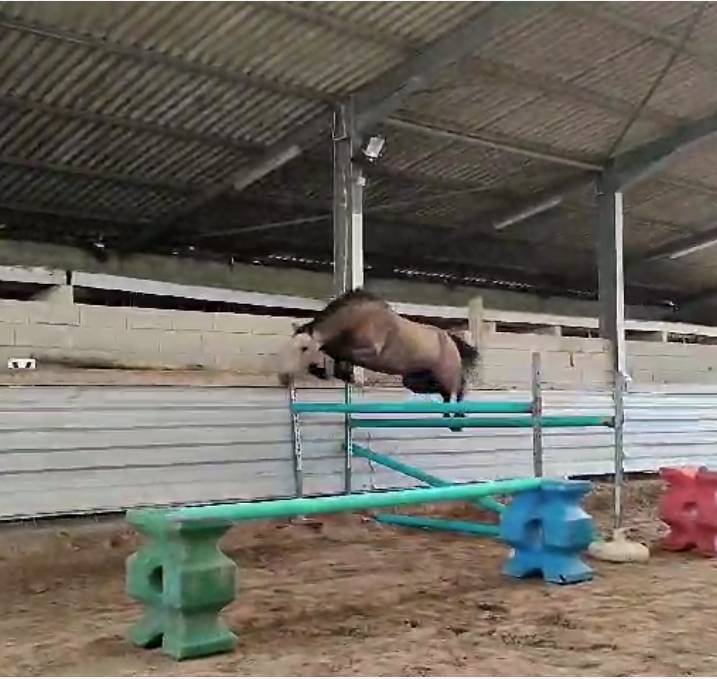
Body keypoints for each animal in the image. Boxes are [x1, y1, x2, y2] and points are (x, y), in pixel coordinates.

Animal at [276, 289, 479, 427]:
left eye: (304, 348)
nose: (283, 377)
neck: (355, 320)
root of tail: (451, 338)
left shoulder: (371, 351)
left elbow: (345, 354)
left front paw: (351, 378)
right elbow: (337, 356)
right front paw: (334, 374)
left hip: (446, 373)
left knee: (456, 388)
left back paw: (457, 417)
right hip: (414, 379)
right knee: (443, 391)